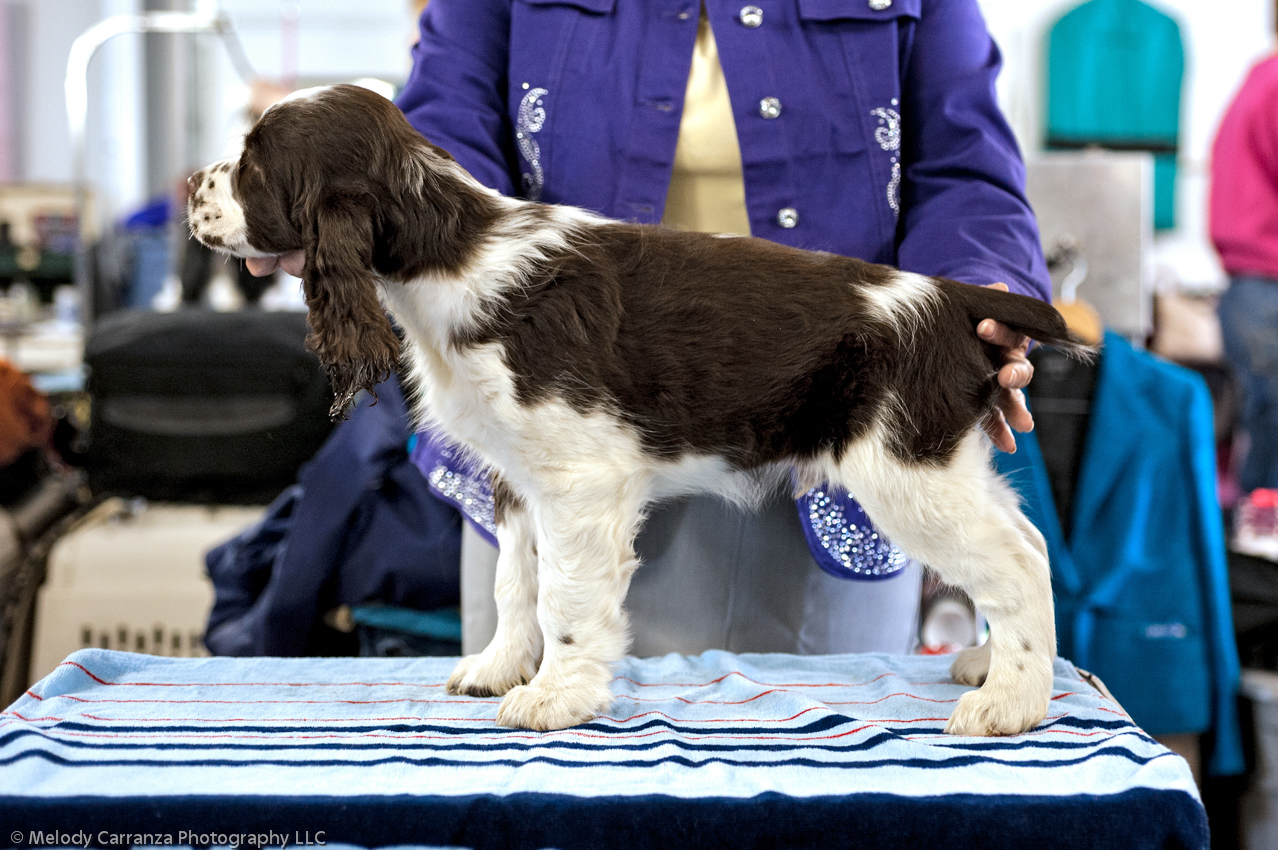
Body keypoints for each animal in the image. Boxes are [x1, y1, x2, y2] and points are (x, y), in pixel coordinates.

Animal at [189, 87, 1088, 736]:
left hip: (903, 470)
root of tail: (954, 299)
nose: (192, 184)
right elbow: (517, 582)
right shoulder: (521, 480)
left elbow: (566, 596)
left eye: (255, 165)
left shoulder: (581, 480)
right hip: (943, 463)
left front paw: (555, 698)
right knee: (1026, 540)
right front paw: (500, 667)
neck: (454, 255)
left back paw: (1009, 701)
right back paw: (989, 665)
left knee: (1014, 560)